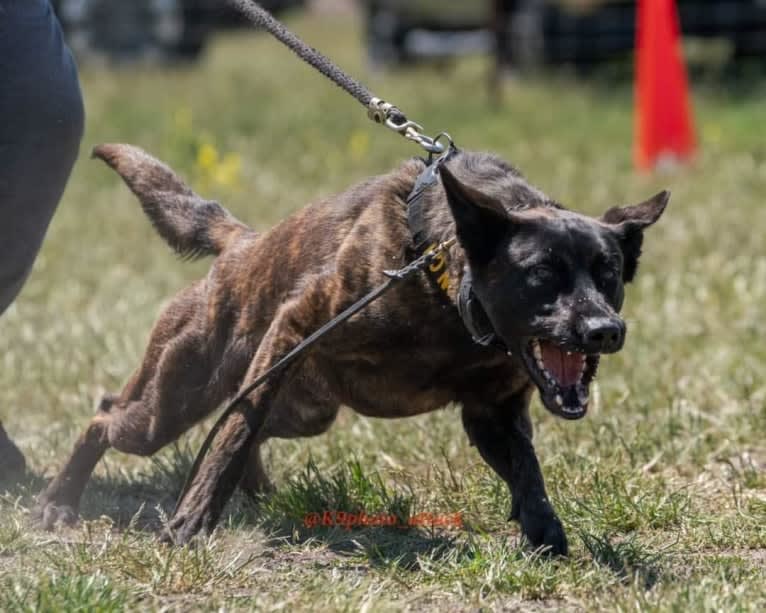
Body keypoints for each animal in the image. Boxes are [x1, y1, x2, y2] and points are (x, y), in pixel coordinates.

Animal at [33, 145, 664, 556]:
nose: (605, 330)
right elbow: (233, 433)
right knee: (112, 415)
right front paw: (192, 518)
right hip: (170, 402)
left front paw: (545, 535)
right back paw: (59, 502)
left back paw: (256, 492)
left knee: (248, 420)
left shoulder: (493, 414)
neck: (441, 281)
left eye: (608, 273)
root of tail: (240, 246)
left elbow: (528, 471)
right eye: (542, 274)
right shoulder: (296, 324)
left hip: (307, 412)